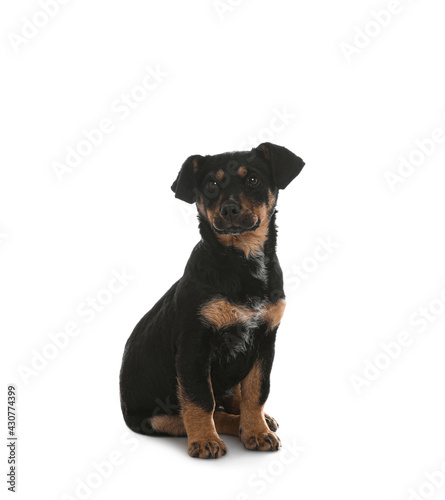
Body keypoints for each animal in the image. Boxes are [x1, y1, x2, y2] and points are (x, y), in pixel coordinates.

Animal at [119, 143, 304, 458]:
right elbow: (200, 400)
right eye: (211, 186)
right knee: (207, 411)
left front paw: (256, 431)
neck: (241, 262)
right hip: (154, 418)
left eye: (253, 180)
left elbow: (257, 392)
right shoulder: (194, 345)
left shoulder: (265, 340)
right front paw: (205, 440)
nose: (229, 209)